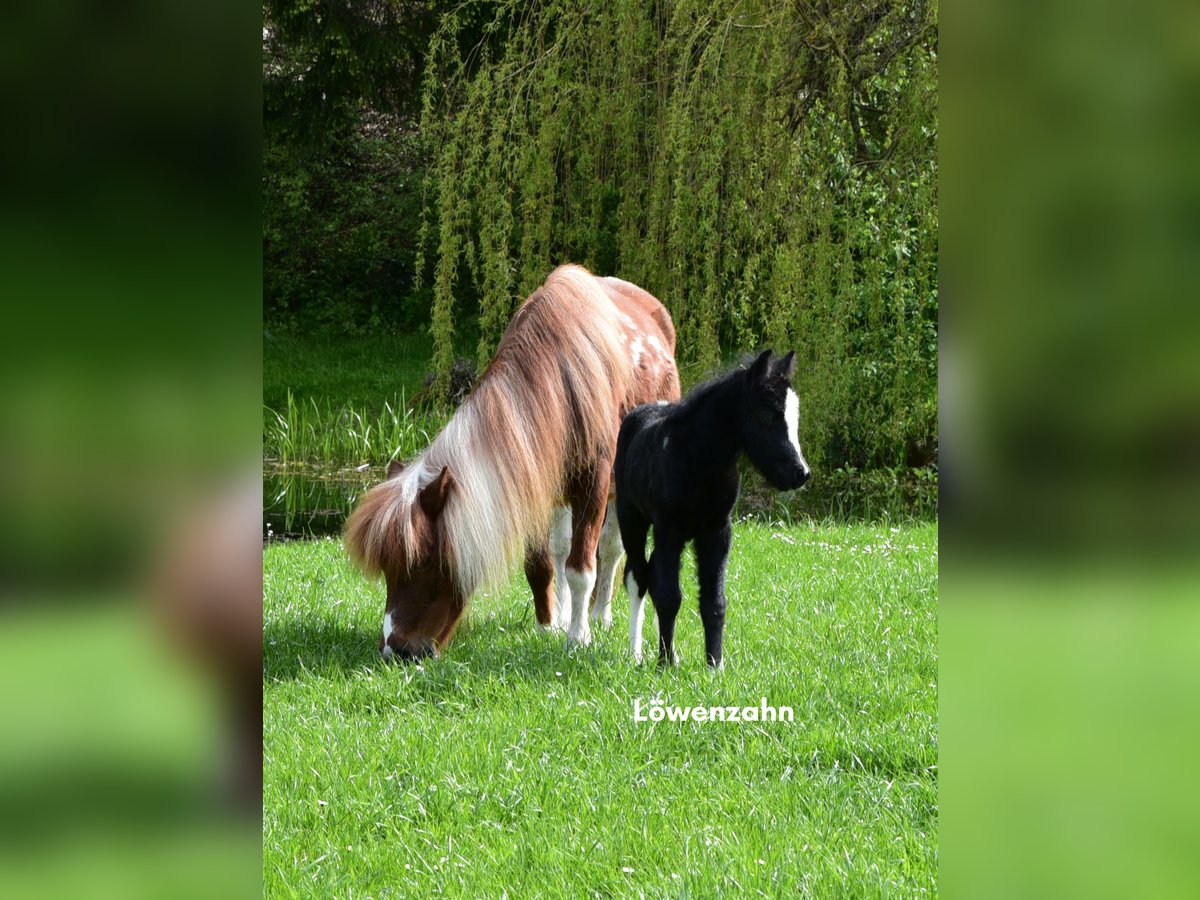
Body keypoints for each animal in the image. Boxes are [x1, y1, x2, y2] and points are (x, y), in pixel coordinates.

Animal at [348, 264, 681, 657]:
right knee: (561, 549)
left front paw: (578, 637)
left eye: (424, 560)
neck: (561, 376)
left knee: (610, 549)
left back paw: (600, 615)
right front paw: (548, 626)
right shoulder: (533, 476)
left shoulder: (594, 483)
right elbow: (541, 565)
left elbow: (582, 567)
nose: (396, 649)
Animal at [614, 348, 811, 667]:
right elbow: (670, 596)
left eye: (795, 414)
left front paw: (714, 664)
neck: (698, 462)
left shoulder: (717, 532)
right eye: (767, 415)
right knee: (638, 577)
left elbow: (714, 601)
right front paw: (664, 664)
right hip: (631, 519)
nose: (800, 473)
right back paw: (637, 653)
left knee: (652, 575)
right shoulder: (668, 530)